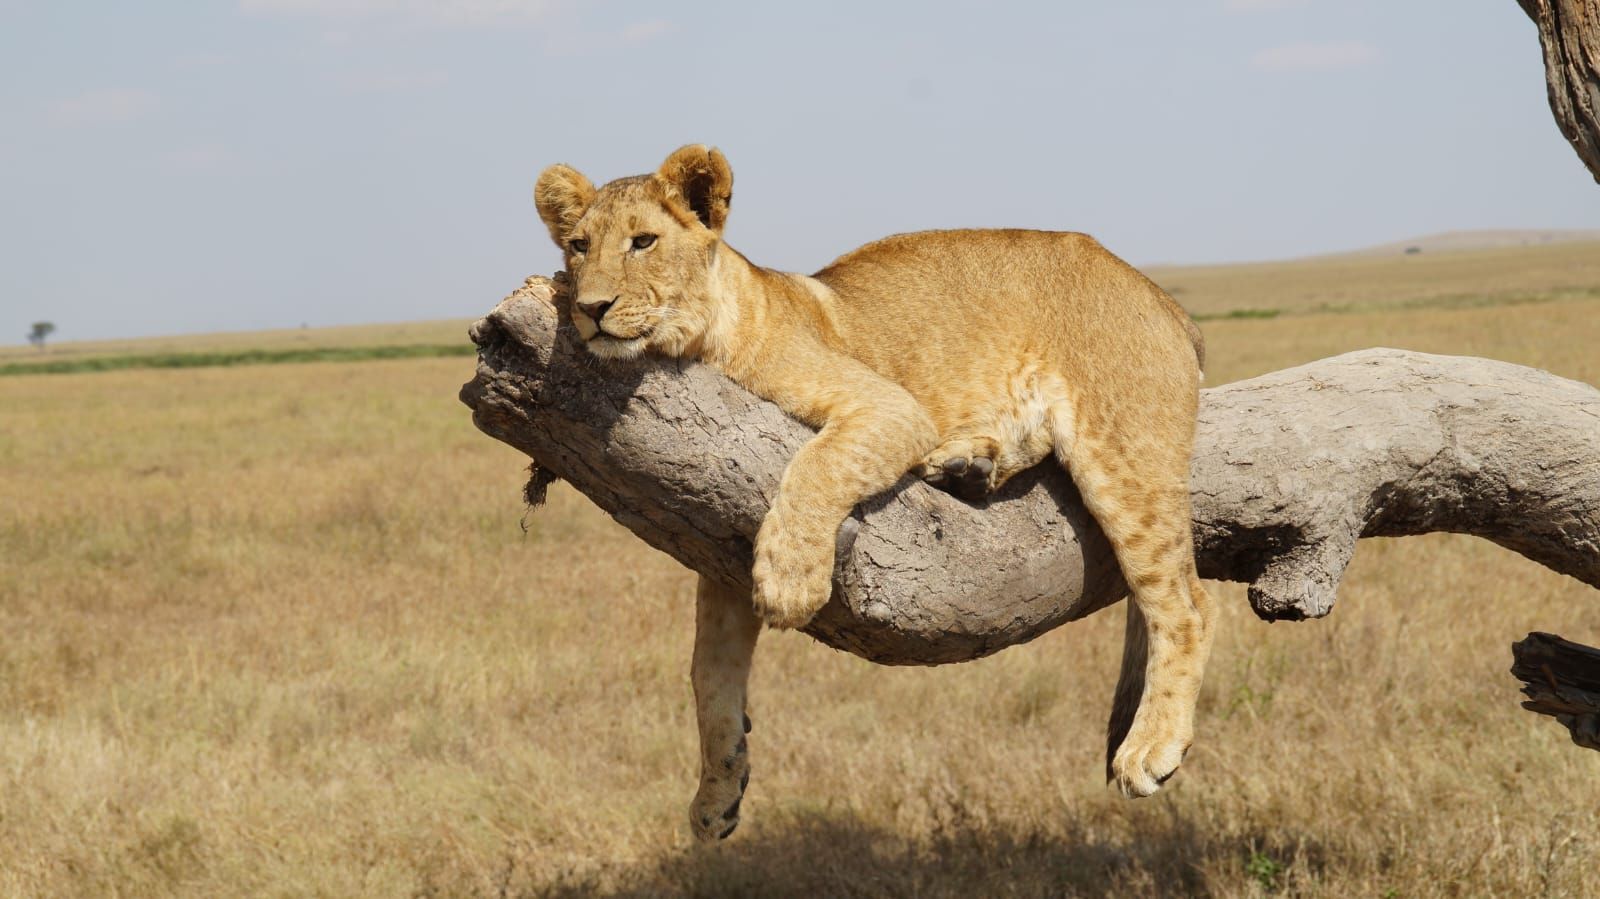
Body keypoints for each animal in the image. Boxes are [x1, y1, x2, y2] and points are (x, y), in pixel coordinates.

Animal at [534, 145, 1215, 842]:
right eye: (578, 246)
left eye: (643, 242)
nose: (590, 308)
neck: (705, 342)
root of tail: (1158, 295)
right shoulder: (717, 546)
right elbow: (708, 671)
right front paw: (715, 796)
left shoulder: (889, 407)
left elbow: (816, 465)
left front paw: (791, 582)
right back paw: (967, 464)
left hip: (1122, 452)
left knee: (1188, 604)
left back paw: (1152, 747)